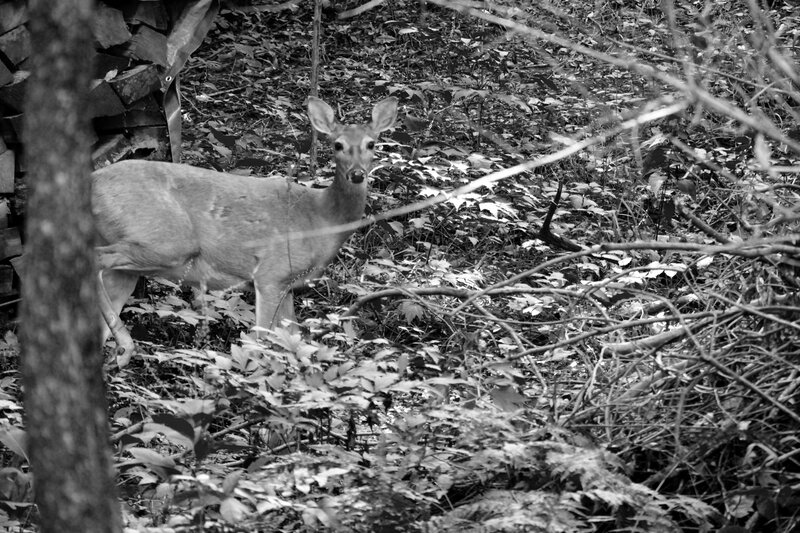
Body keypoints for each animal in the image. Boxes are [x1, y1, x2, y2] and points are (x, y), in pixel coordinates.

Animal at [93, 96, 398, 364]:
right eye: (337, 144)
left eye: (372, 143)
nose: (357, 174)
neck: (321, 219)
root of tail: (95, 181)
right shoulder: (271, 272)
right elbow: (261, 340)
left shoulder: (288, 284)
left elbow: (292, 338)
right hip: (168, 239)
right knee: (97, 259)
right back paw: (125, 346)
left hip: (133, 263)